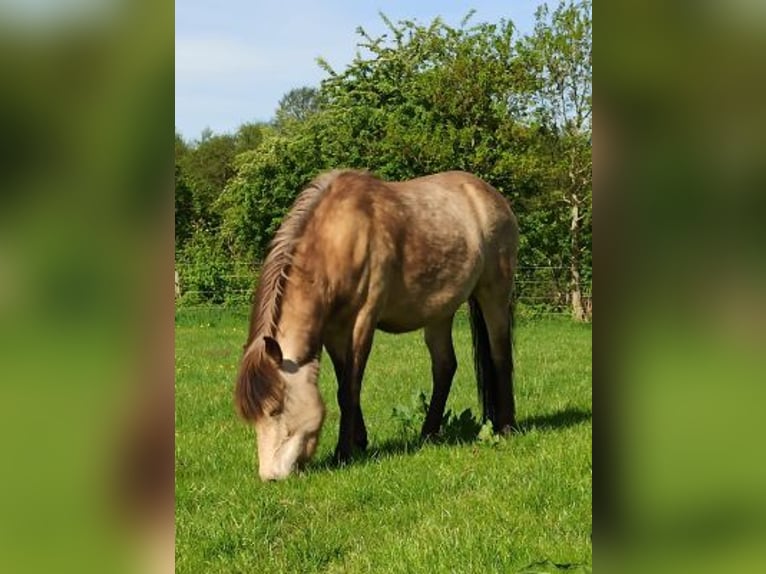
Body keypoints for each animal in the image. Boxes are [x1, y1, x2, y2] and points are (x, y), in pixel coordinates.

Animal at [236, 170, 520, 482]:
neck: (338, 237)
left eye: (275, 410)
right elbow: (343, 382)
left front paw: (343, 453)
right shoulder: (333, 331)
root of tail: (491, 195)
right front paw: (359, 441)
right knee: (445, 366)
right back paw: (428, 433)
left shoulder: (363, 320)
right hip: (440, 311)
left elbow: (349, 388)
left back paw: (507, 427)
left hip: (494, 293)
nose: (270, 476)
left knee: (500, 357)